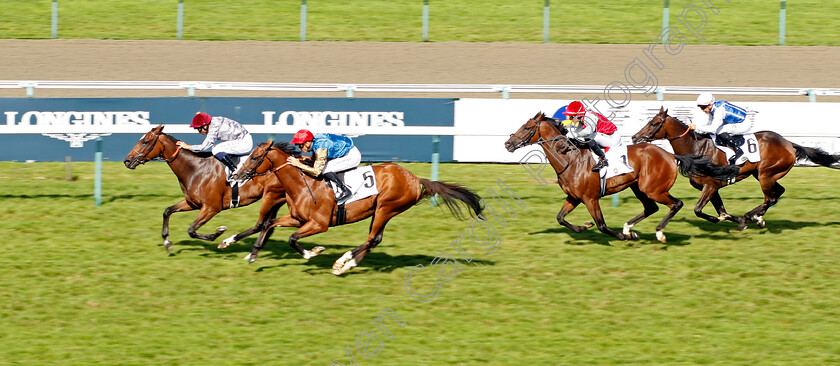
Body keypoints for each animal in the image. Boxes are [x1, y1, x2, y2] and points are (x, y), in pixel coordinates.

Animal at [120, 126, 288, 252]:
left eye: (145, 141)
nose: (127, 161)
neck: (196, 169)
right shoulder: (192, 203)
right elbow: (167, 211)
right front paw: (167, 242)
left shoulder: (211, 207)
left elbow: (191, 230)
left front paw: (218, 233)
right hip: (277, 199)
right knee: (267, 225)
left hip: (270, 196)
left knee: (261, 224)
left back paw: (229, 242)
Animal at [230, 139, 482, 274]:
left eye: (255, 157)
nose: (236, 175)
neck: (303, 183)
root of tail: (414, 179)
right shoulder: (297, 218)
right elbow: (269, 223)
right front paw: (253, 254)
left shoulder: (319, 224)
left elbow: (292, 238)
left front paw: (313, 252)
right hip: (381, 210)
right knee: (375, 239)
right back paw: (347, 264)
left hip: (386, 208)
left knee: (372, 238)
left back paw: (344, 261)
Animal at [502, 111, 740, 243]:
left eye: (527, 127)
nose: (508, 143)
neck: (570, 158)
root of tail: (671, 155)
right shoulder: (574, 197)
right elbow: (560, 218)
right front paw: (584, 227)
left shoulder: (590, 198)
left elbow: (602, 225)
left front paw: (622, 236)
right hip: (638, 187)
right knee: (651, 208)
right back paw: (630, 227)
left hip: (653, 189)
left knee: (676, 204)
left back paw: (659, 233)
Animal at [632, 107, 840, 230]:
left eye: (653, 123)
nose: (635, 137)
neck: (696, 148)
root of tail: (788, 143)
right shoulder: (712, 188)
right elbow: (721, 210)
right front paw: (736, 220)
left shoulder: (711, 185)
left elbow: (699, 210)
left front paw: (736, 220)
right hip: (764, 174)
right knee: (778, 192)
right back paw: (757, 217)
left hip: (766, 174)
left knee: (770, 197)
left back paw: (750, 216)